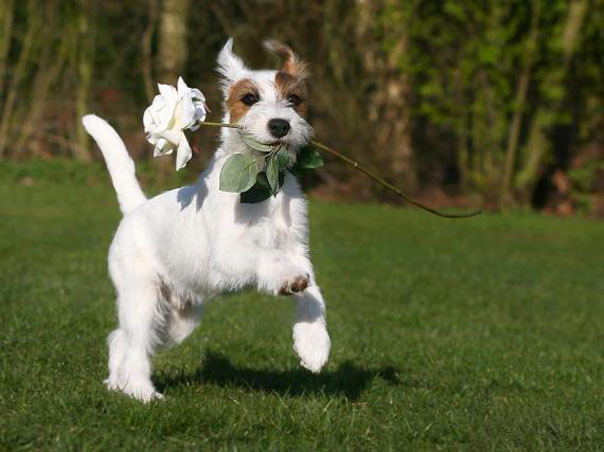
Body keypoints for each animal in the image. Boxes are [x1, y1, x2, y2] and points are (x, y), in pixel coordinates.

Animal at [81, 38, 330, 402]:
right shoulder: (229, 252)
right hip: (143, 298)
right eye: (249, 99)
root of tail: (136, 209)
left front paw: (314, 345)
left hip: (177, 320)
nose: (280, 125)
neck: (261, 183)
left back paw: (119, 384)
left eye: (294, 100)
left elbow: (313, 293)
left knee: (121, 339)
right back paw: (142, 392)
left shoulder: (297, 248)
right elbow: (266, 257)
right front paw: (287, 281)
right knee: (135, 343)